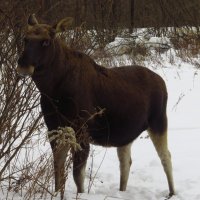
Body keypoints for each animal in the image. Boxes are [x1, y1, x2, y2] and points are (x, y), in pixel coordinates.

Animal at [16, 14, 175, 198]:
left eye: (46, 41)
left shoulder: (81, 130)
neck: (52, 90)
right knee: (126, 161)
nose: (23, 65)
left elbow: (78, 176)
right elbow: (58, 171)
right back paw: (122, 190)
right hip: (126, 132)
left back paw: (172, 192)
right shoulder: (54, 129)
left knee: (166, 156)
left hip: (159, 121)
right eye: (25, 39)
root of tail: (162, 83)